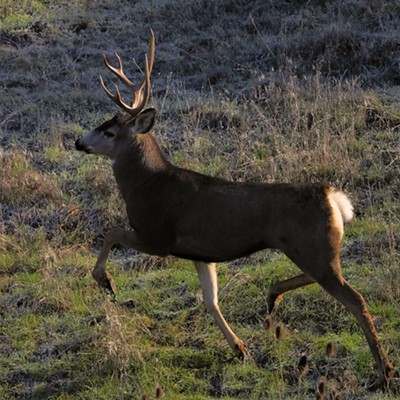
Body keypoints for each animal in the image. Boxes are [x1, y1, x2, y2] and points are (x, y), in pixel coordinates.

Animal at [74, 28, 394, 388]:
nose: (78, 142)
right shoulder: (200, 253)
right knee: (318, 280)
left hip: (314, 248)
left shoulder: (158, 235)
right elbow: (211, 301)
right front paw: (240, 349)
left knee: (356, 299)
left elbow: (111, 232)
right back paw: (272, 297)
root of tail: (333, 197)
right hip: (313, 250)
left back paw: (384, 370)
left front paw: (105, 280)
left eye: (109, 130)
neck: (146, 184)